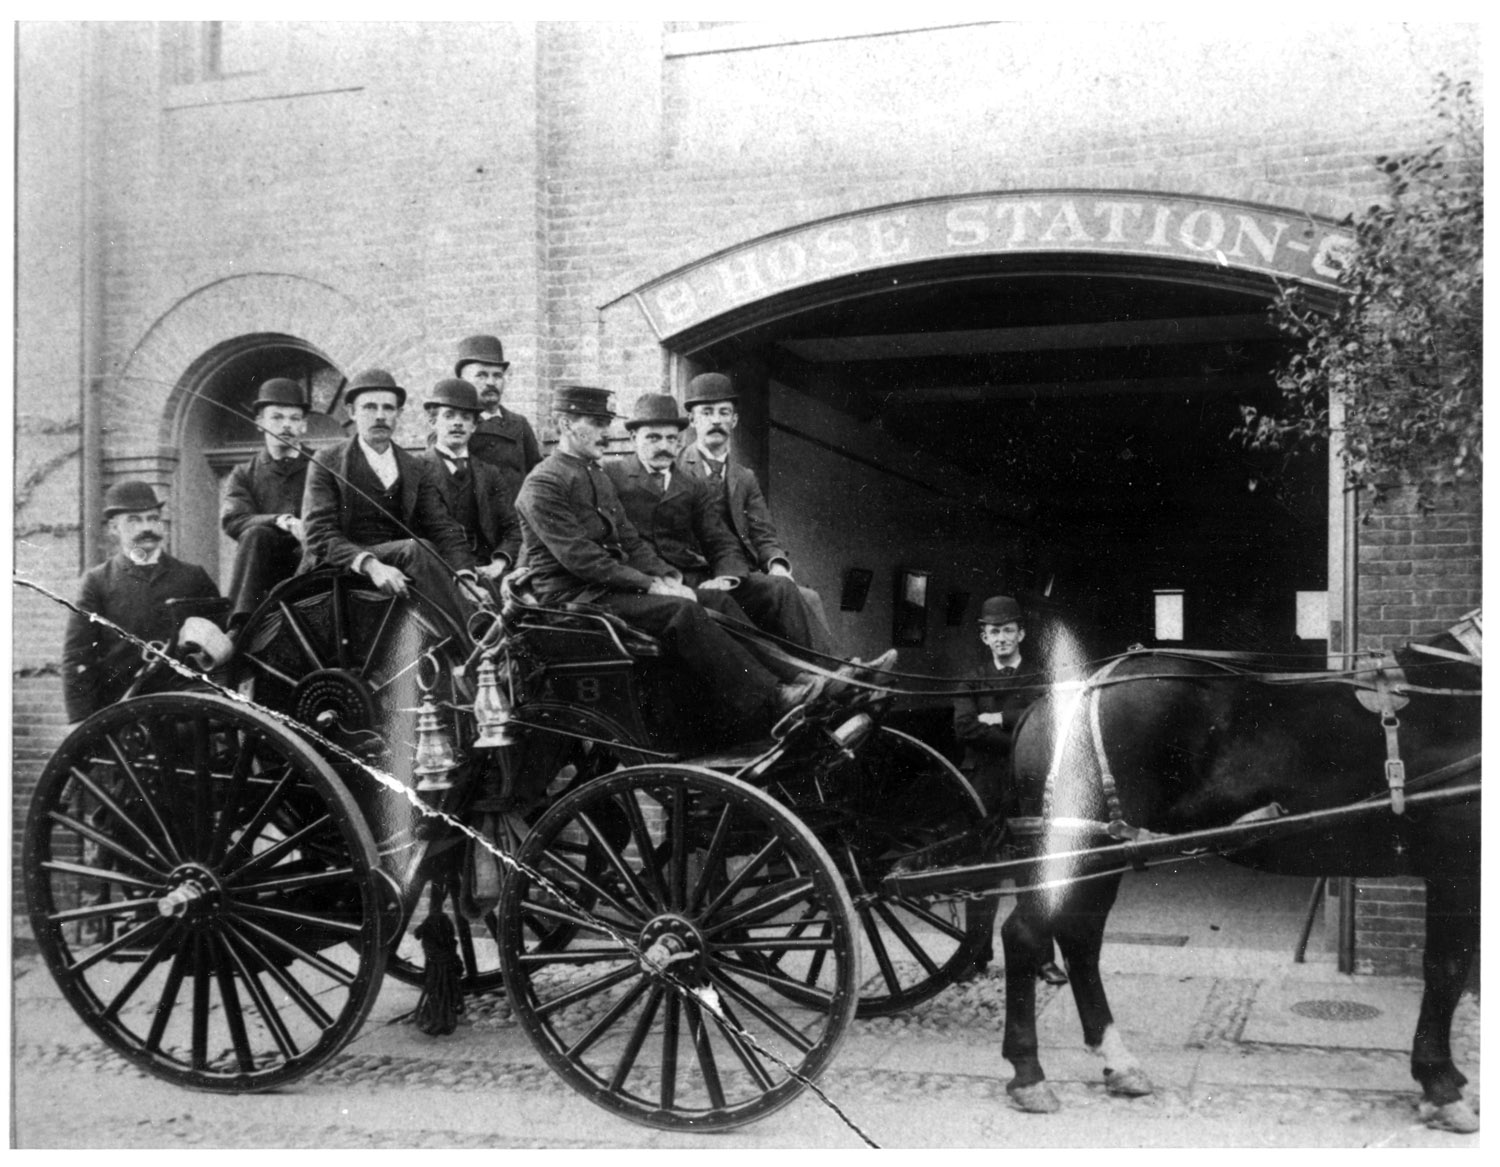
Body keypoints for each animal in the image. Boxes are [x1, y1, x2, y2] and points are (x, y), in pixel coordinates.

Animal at [1002, 618, 1482, 1128]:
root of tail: (1057, 696)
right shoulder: (1457, 868)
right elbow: (1447, 970)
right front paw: (1441, 1084)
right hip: (1088, 848)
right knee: (1025, 934)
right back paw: (1029, 1074)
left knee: (1080, 938)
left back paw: (1118, 1062)